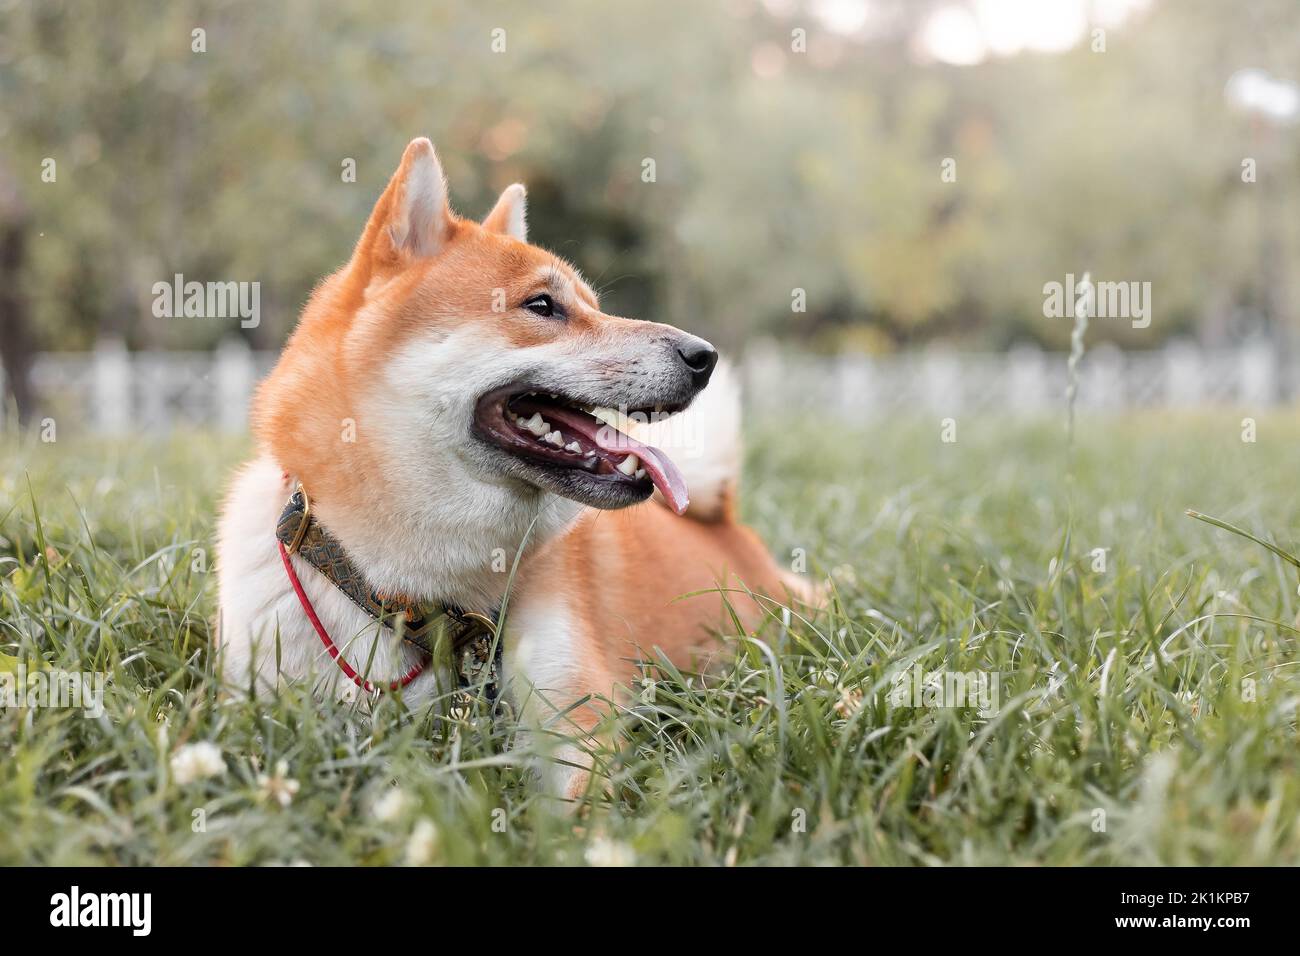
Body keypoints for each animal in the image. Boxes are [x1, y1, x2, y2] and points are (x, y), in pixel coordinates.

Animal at [218, 138, 806, 801]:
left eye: (596, 307)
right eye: (543, 305)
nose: (704, 356)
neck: (421, 601)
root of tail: (721, 520)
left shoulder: (575, 723)